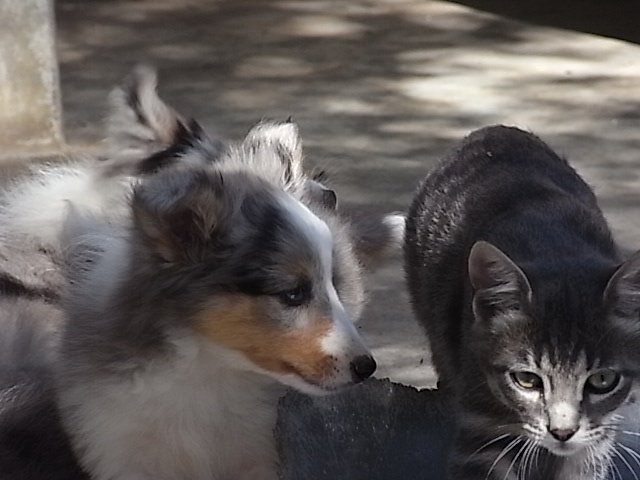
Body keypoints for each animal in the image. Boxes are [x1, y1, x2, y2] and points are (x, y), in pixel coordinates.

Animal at [404, 125, 640, 480]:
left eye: (602, 381)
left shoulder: (593, 446)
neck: (555, 246)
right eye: (527, 380)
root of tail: (495, 131)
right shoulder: (483, 431)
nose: (562, 432)